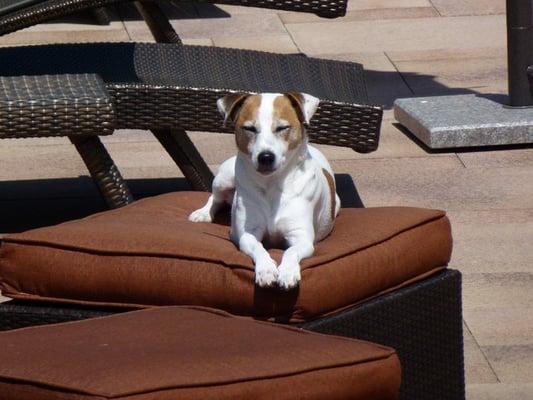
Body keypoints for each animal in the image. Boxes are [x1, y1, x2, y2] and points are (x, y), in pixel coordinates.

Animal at [189, 92, 338, 290]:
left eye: (282, 127)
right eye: (249, 128)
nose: (265, 157)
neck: (271, 185)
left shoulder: (301, 237)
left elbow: (291, 251)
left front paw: (288, 272)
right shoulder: (248, 233)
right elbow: (258, 248)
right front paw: (266, 270)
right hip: (225, 178)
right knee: (215, 198)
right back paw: (202, 213)